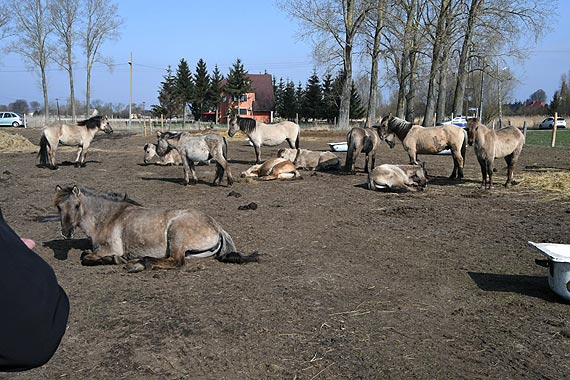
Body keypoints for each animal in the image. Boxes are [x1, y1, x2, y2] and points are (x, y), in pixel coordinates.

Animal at [53, 185, 258, 272]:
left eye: (76, 206)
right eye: (59, 207)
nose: (66, 233)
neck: (109, 217)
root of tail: (217, 226)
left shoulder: (110, 248)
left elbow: (86, 257)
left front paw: (114, 260)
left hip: (176, 234)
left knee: (176, 262)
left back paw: (139, 264)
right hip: (191, 251)